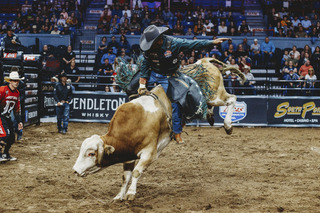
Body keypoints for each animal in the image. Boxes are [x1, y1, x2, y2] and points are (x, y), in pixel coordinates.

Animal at [74, 56, 246, 200]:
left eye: (91, 153)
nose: (75, 170)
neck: (132, 125)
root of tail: (203, 62)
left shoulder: (150, 153)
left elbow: (136, 172)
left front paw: (131, 193)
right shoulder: (129, 155)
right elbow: (125, 176)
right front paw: (119, 196)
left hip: (215, 95)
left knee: (232, 99)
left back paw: (228, 125)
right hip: (210, 98)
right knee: (213, 105)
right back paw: (210, 116)